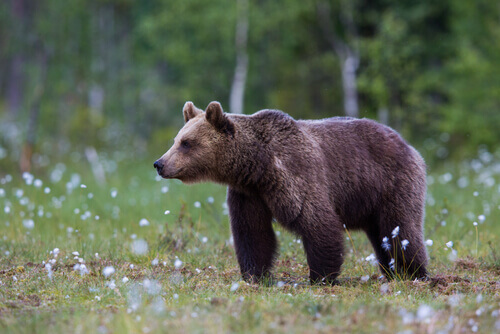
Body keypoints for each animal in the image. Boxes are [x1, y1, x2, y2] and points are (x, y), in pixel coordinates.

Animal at [154, 100, 428, 284]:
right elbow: (252, 233)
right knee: (382, 235)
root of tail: (407, 144)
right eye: (176, 140)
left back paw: (414, 273)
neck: (257, 166)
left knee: (400, 229)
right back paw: (393, 272)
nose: (160, 163)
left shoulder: (298, 176)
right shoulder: (248, 194)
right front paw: (253, 275)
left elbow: (318, 223)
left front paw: (321, 277)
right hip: (369, 202)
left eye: (187, 143)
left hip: (391, 183)